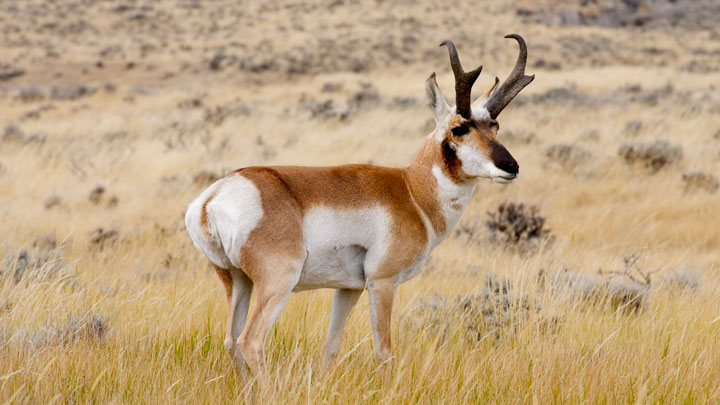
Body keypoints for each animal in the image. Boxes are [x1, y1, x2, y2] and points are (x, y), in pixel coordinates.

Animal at [186, 34, 536, 378]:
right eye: (459, 128)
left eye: (494, 126)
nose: (511, 166)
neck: (412, 191)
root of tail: (214, 196)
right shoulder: (382, 283)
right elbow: (384, 351)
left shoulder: (348, 289)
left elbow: (331, 347)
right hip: (277, 282)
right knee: (250, 341)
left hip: (237, 281)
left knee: (231, 340)